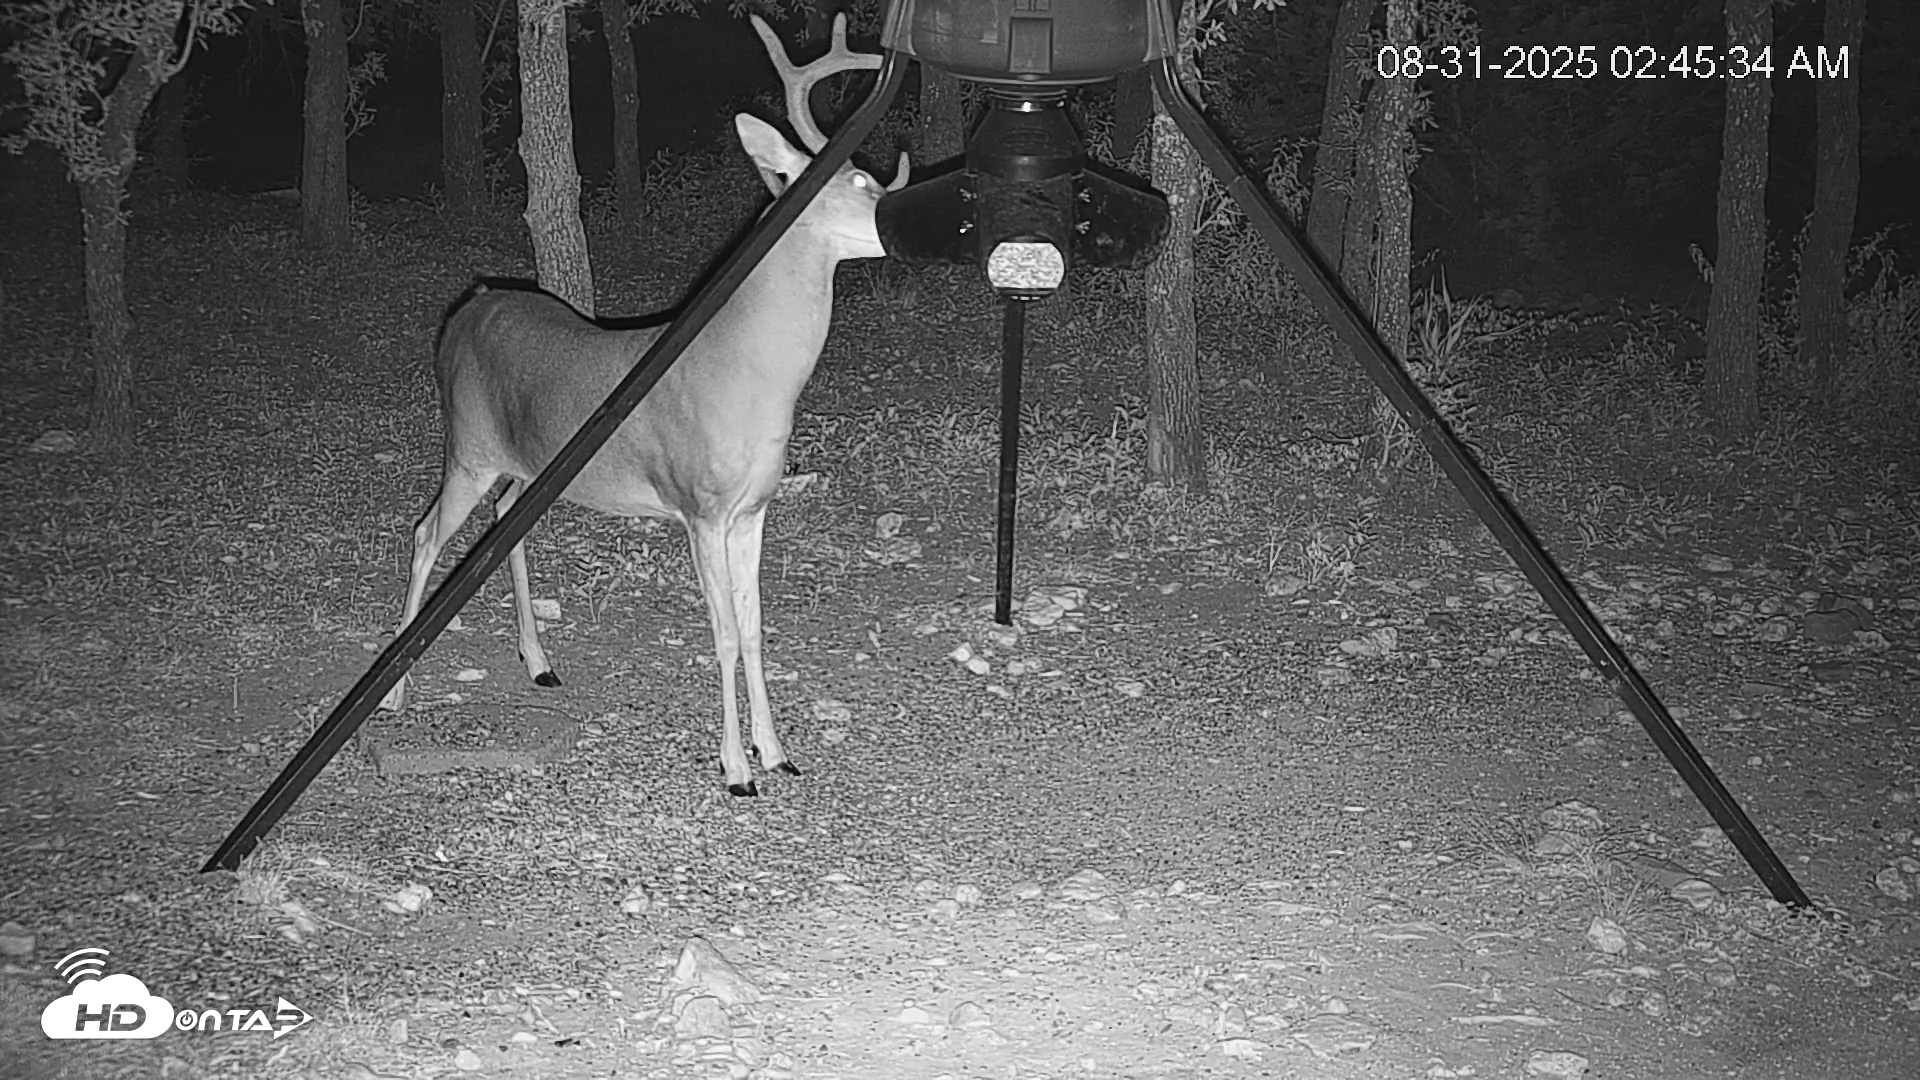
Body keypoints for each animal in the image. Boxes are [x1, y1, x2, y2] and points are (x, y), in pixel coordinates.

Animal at [378, 14, 905, 796]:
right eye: (858, 182)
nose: (901, 224)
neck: (751, 377)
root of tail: (470, 305)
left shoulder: (754, 507)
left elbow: (754, 627)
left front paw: (777, 751)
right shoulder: (700, 505)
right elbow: (722, 633)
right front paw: (734, 770)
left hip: (525, 464)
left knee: (503, 525)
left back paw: (540, 662)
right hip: (467, 445)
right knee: (424, 535)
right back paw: (393, 692)